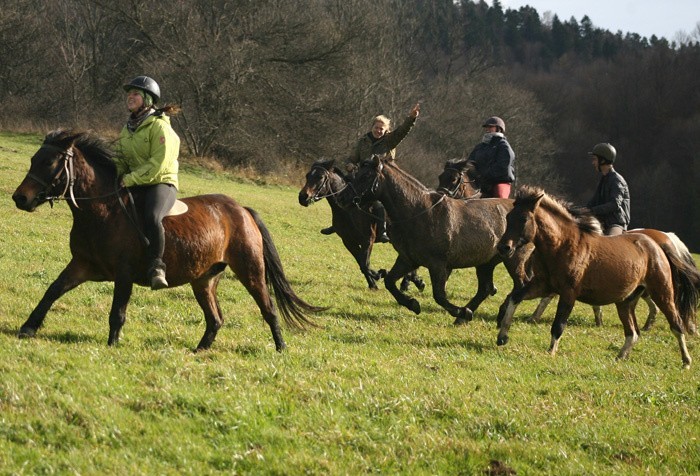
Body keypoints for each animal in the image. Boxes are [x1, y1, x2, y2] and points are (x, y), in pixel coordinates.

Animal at [12, 128, 322, 352]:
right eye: (33, 159)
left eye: (49, 162)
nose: (20, 198)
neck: (102, 212)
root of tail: (241, 209)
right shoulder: (82, 264)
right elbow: (52, 290)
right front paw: (28, 327)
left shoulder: (123, 273)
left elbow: (117, 311)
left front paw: (112, 345)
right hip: (204, 279)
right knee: (215, 319)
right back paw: (199, 351)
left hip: (250, 270)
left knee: (268, 309)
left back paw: (281, 348)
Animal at [294, 160, 422, 292]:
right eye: (307, 176)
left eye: (320, 177)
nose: (303, 197)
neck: (348, 210)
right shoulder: (349, 241)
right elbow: (362, 264)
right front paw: (373, 283)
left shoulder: (367, 240)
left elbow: (365, 264)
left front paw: (379, 274)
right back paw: (412, 281)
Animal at [494, 186, 696, 368]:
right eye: (508, 217)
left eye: (524, 218)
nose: (504, 247)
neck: (562, 245)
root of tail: (658, 245)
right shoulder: (542, 286)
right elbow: (515, 297)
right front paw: (502, 336)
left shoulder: (568, 293)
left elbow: (558, 324)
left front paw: (551, 352)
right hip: (625, 301)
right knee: (633, 332)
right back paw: (620, 357)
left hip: (662, 292)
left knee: (676, 324)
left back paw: (686, 361)